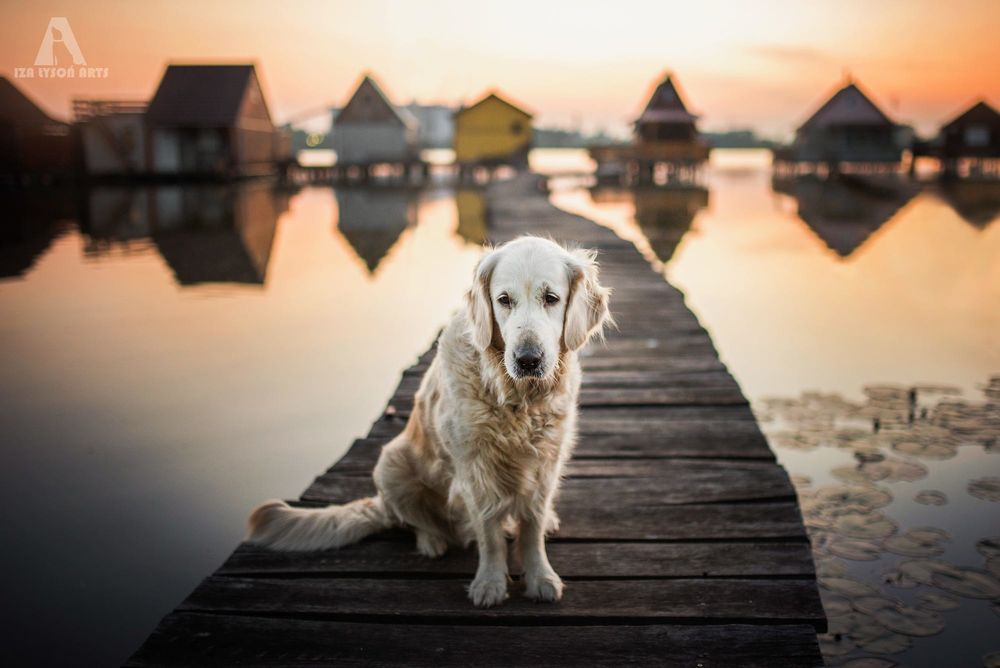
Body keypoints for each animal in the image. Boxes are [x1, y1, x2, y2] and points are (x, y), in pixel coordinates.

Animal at [246, 235, 612, 604]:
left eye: (551, 298)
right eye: (504, 300)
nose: (527, 360)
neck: (517, 399)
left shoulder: (546, 462)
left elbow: (532, 528)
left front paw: (540, 577)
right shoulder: (473, 469)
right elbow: (489, 534)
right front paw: (490, 583)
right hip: (390, 463)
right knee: (414, 520)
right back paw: (431, 541)